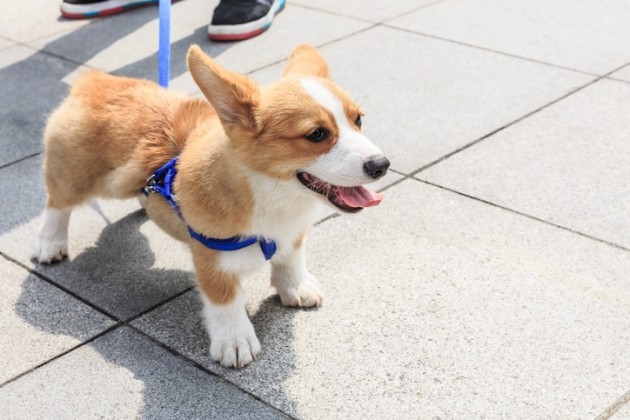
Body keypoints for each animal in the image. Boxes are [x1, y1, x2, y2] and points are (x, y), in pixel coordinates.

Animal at [35, 44, 390, 368]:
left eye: (358, 120)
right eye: (316, 134)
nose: (381, 165)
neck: (272, 194)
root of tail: (93, 81)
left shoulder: (293, 233)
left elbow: (290, 259)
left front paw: (296, 287)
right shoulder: (211, 256)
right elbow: (225, 300)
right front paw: (235, 342)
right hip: (75, 176)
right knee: (57, 203)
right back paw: (50, 244)